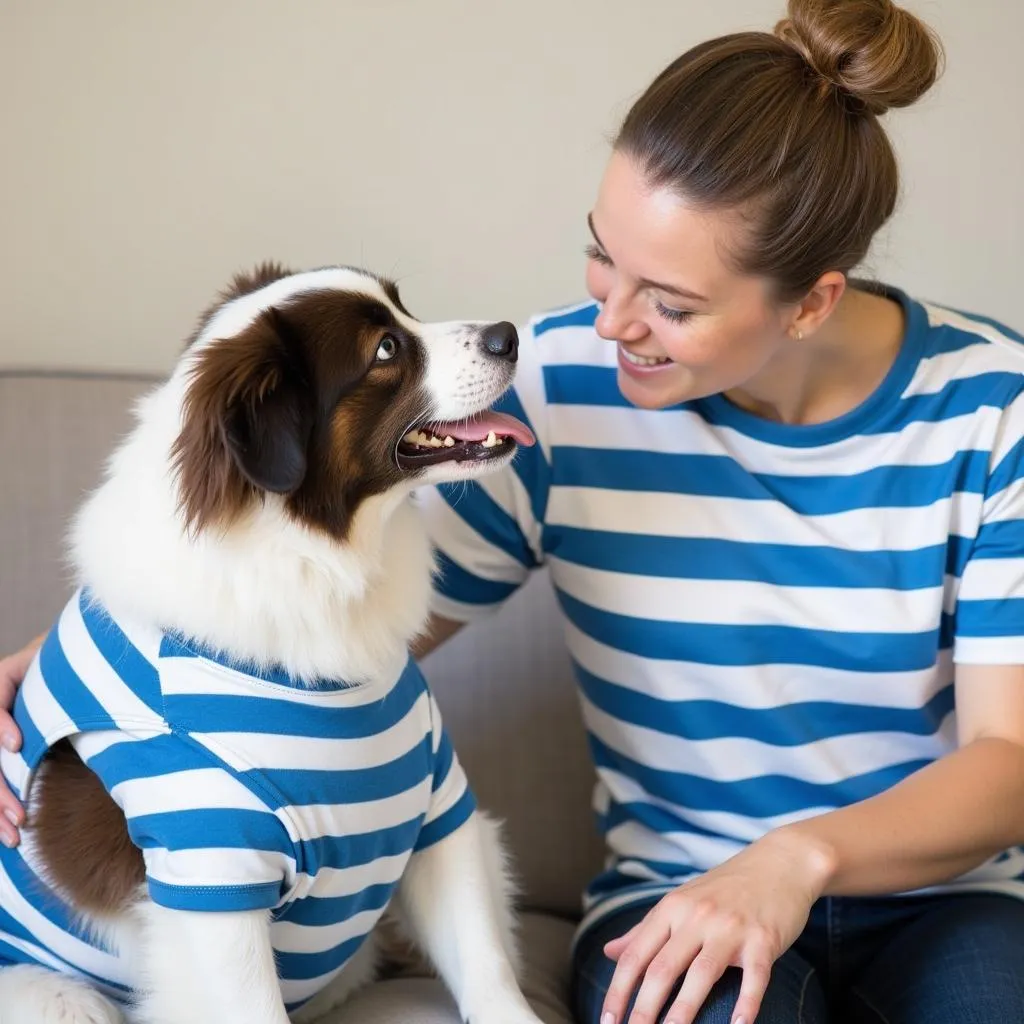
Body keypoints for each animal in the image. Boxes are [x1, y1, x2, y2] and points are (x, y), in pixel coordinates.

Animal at [0, 264, 544, 1024]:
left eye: (403, 305)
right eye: (384, 350)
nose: (508, 335)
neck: (316, 562)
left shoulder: (440, 808)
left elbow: (486, 964)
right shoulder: (211, 871)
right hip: (61, 1001)